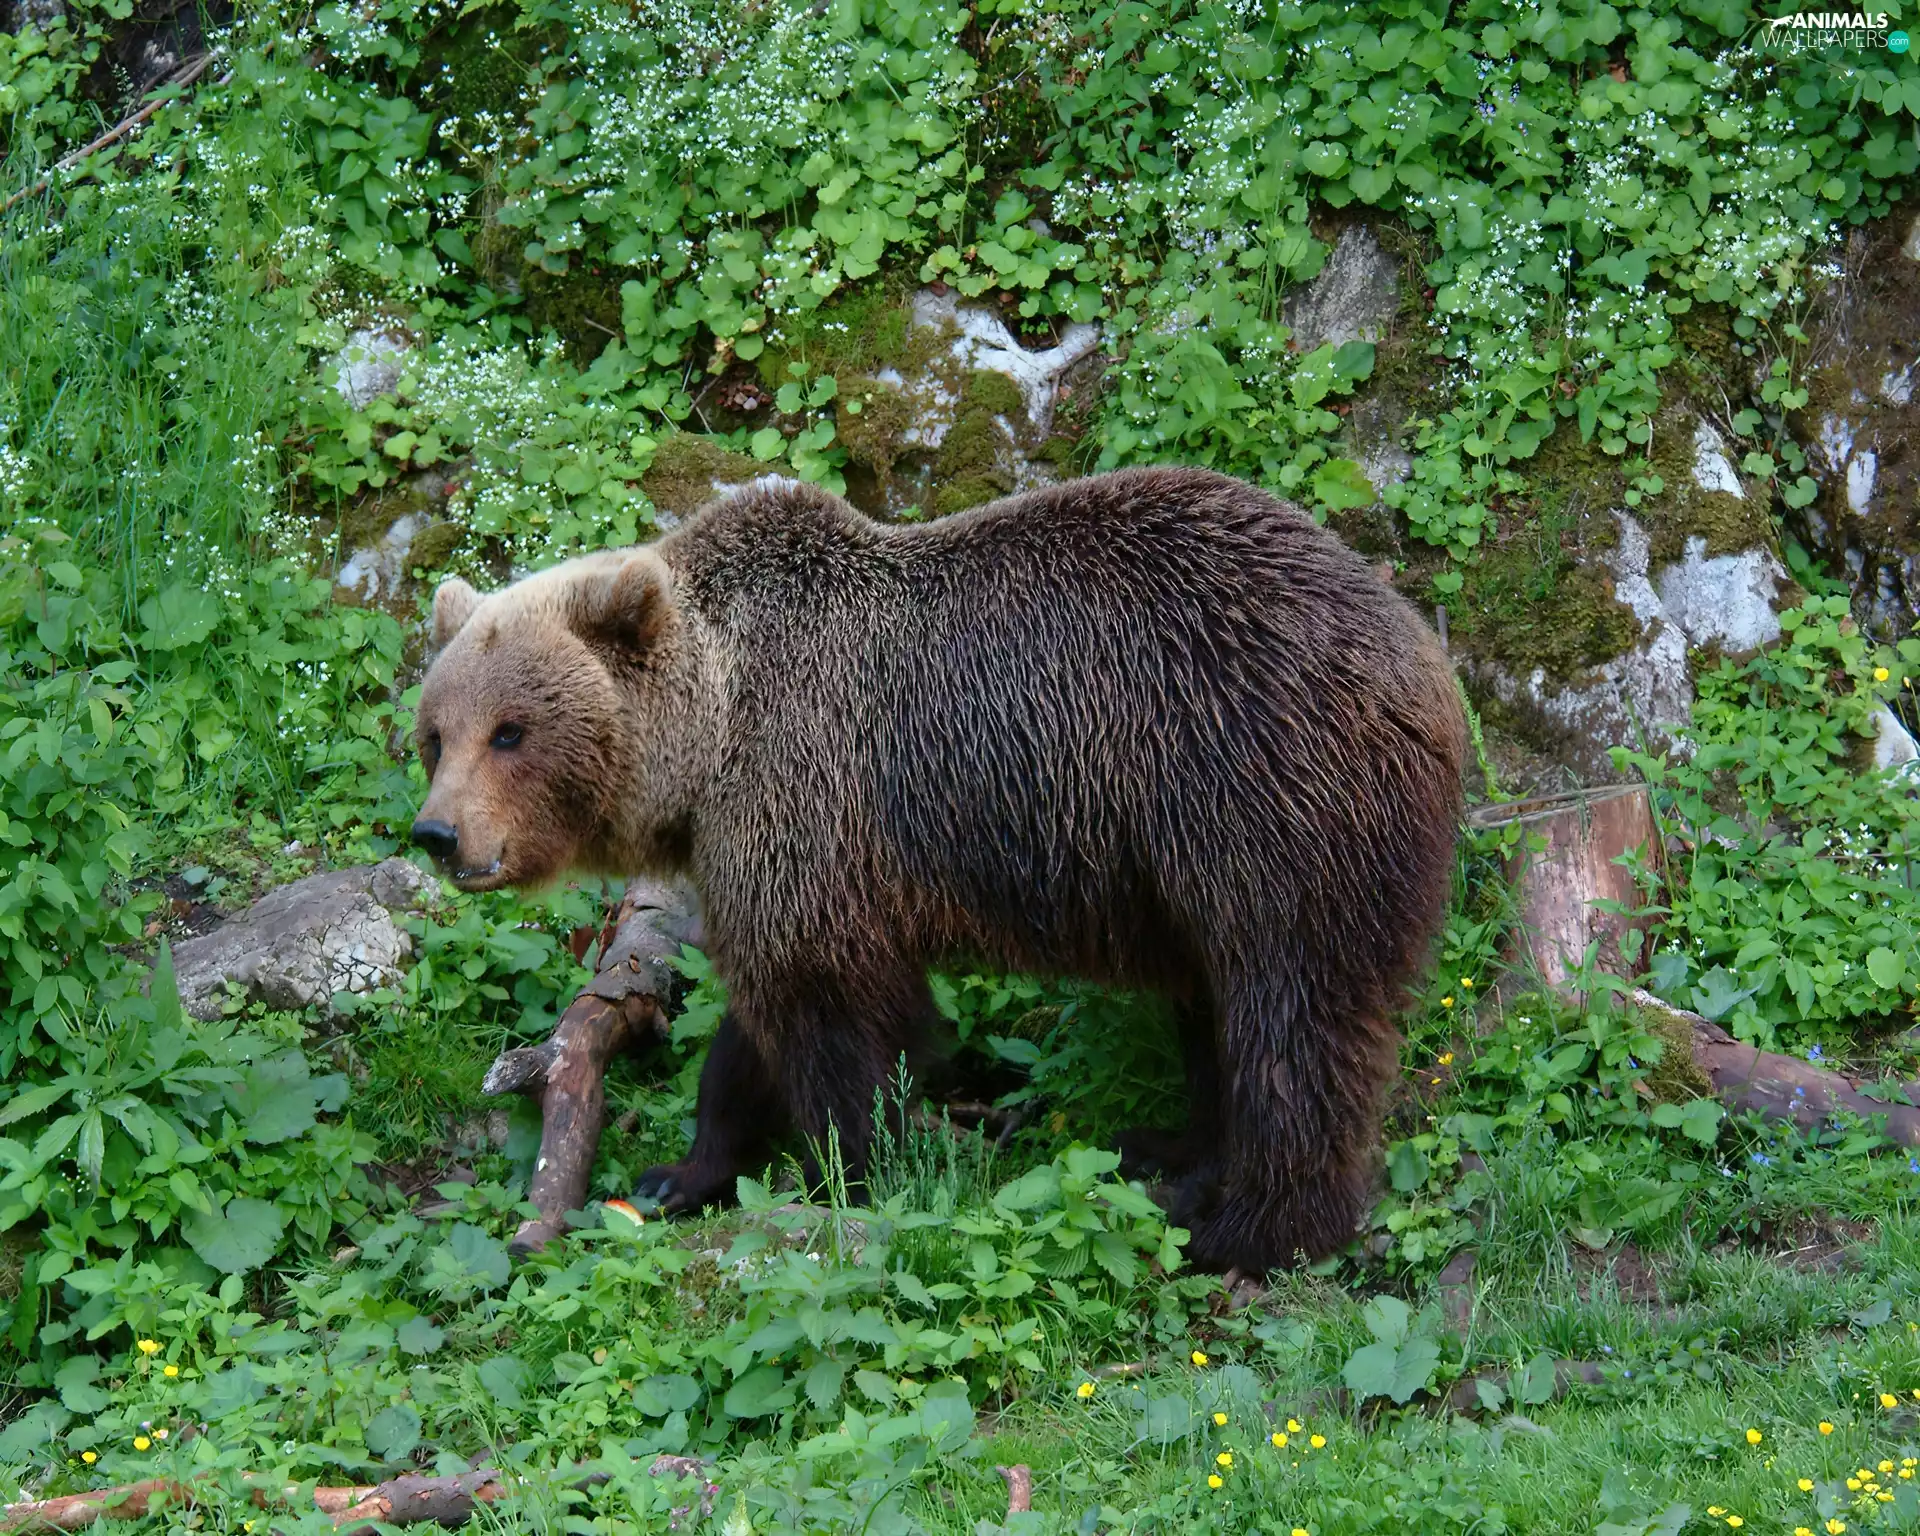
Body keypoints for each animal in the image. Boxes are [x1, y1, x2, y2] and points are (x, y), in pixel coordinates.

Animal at [411, 466, 1466, 1272]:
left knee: (1292, 1009)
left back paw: (1246, 1231)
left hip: (1258, 793)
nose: (437, 835)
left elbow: (828, 1011)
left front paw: (850, 1168)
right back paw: (1169, 1149)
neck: (711, 736)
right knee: (1214, 1008)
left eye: (511, 730)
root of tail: (1419, 648)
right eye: (435, 734)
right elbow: (762, 1013)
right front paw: (684, 1172)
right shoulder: (782, 844)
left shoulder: (805, 783)